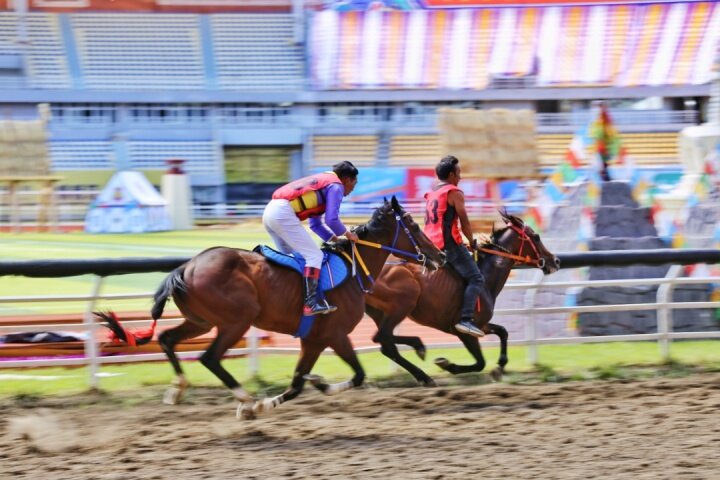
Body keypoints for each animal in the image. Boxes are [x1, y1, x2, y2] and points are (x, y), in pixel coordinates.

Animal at [97, 196, 444, 419]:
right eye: (413, 225)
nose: (439, 255)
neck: (352, 270)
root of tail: (185, 267)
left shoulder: (312, 340)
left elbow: (297, 384)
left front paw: (303, 388)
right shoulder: (334, 335)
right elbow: (357, 375)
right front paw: (306, 389)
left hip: (201, 321)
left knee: (167, 338)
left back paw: (178, 389)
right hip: (236, 320)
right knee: (209, 357)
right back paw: (245, 400)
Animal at [364, 211, 560, 386]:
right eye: (536, 237)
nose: (556, 261)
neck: (485, 275)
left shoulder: (479, 326)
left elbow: (503, 331)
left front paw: (499, 367)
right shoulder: (464, 330)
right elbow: (480, 363)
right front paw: (447, 364)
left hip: (380, 312)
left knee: (386, 343)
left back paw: (422, 370)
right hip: (403, 303)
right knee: (383, 337)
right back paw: (420, 355)